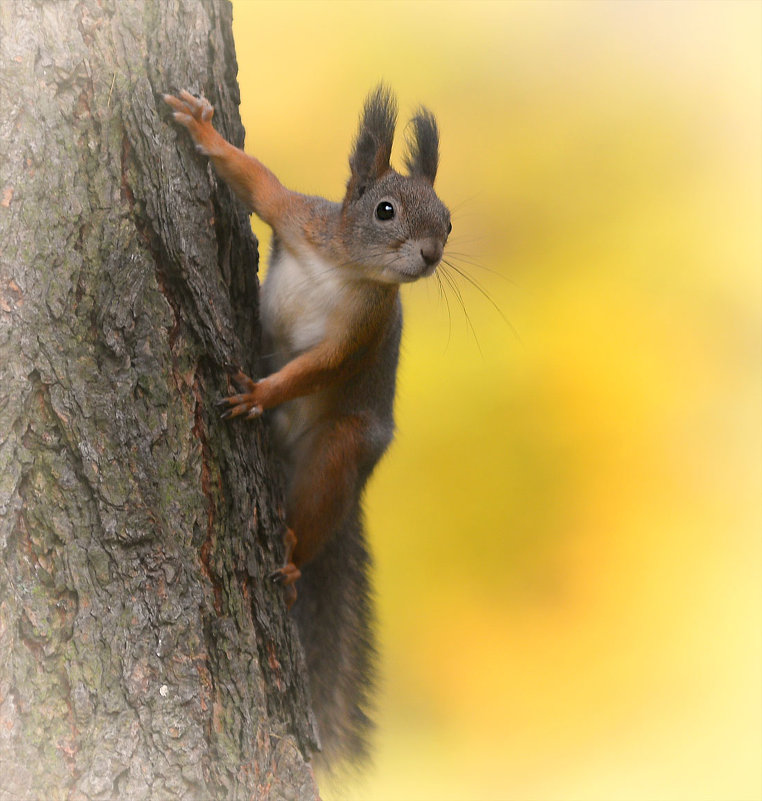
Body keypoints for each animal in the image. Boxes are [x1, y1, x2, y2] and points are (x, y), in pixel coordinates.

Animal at [165, 84, 452, 764]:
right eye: (384, 210)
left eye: (449, 222)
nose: (431, 255)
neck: (348, 267)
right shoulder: (299, 219)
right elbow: (256, 181)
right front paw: (205, 133)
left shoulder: (362, 332)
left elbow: (316, 369)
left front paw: (259, 394)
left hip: (342, 449)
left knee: (317, 511)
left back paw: (294, 559)